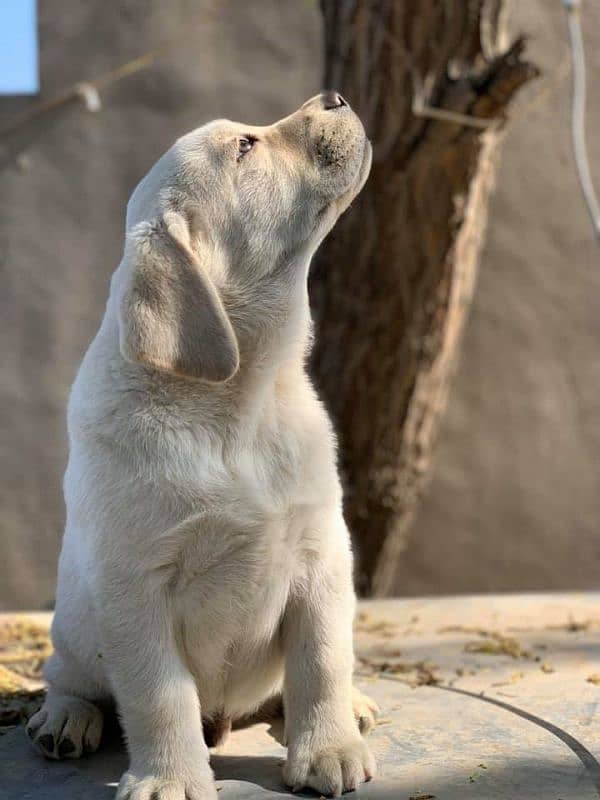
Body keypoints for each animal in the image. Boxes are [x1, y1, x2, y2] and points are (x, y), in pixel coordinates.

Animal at [29, 95, 376, 800]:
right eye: (245, 147)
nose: (335, 98)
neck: (239, 402)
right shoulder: (134, 582)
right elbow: (160, 697)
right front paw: (171, 778)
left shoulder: (321, 553)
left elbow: (323, 660)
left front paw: (327, 747)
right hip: (72, 629)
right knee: (69, 679)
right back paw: (65, 718)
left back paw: (350, 706)